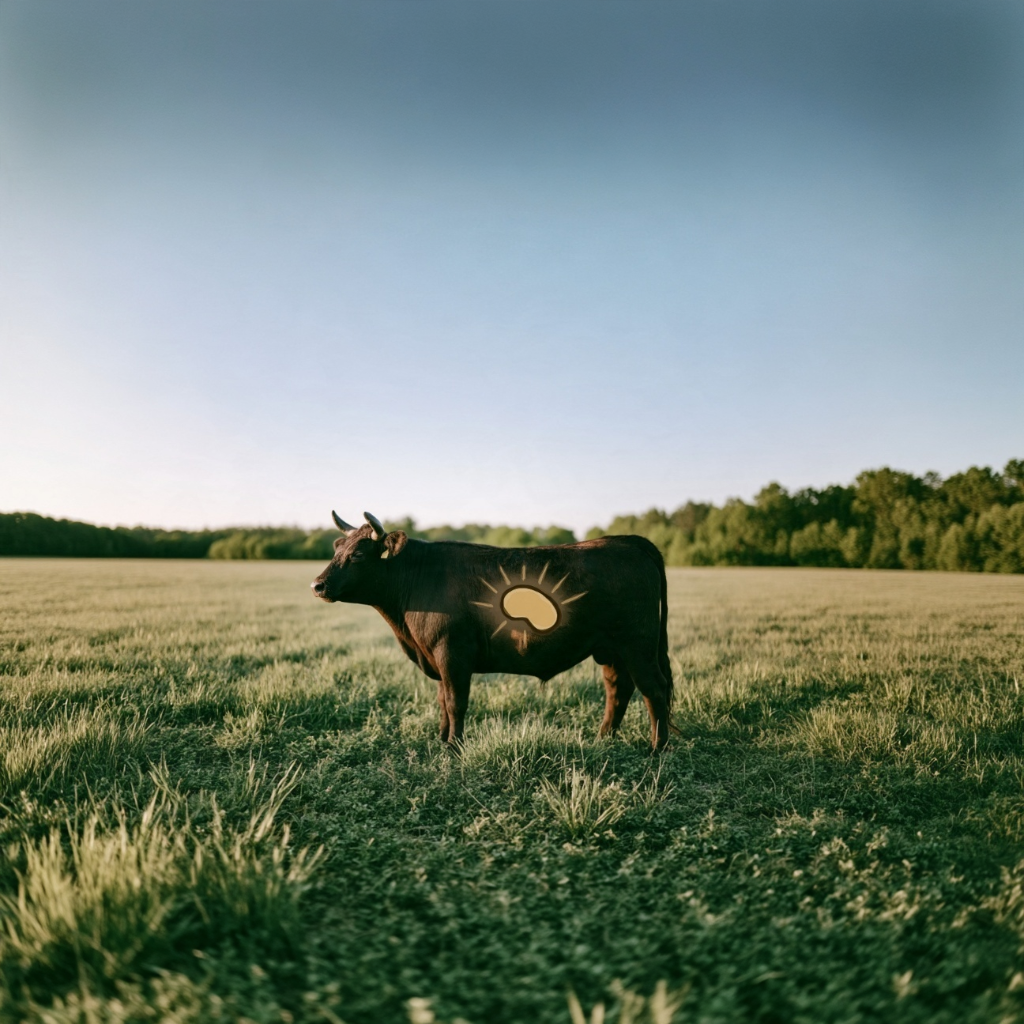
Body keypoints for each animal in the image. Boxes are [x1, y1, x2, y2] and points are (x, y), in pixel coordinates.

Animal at [311, 511, 674, 751]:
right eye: (337, 549)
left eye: (358, 554)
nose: (318, 585)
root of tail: (627, 541)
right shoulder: (438, 658)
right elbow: (442, 701)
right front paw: (442, 740)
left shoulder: (452, 654)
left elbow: (456, 702)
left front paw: (454, 748)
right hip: (611, 650)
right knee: (618, 690)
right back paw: (603, 740)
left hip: (638, 646)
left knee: (654, 690)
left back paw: (656, 749)